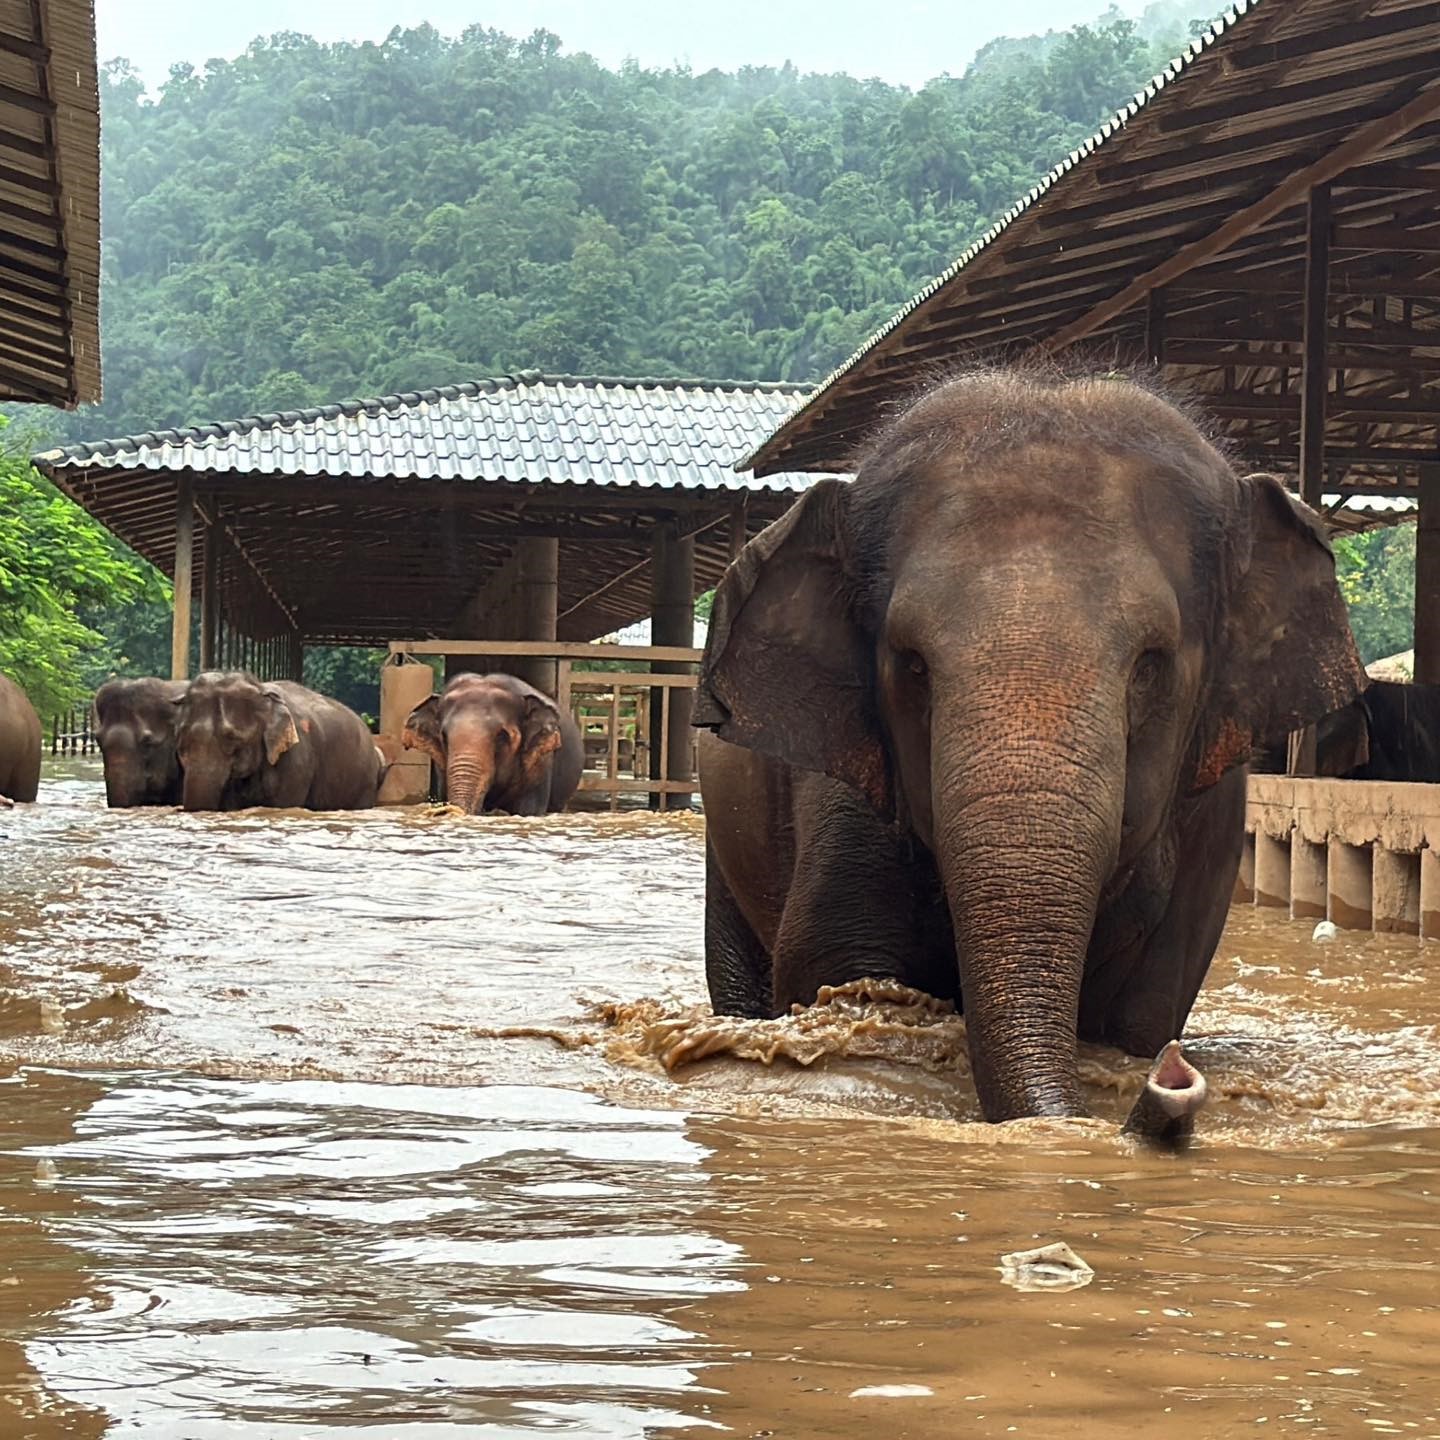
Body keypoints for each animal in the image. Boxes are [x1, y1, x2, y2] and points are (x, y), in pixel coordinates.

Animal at [691, 368, 1365, 1123]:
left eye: (1151, 663)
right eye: (911, 664)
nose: (1174, 1078)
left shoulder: (1213, 821)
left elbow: (1144, 1006)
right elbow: (834, 967)